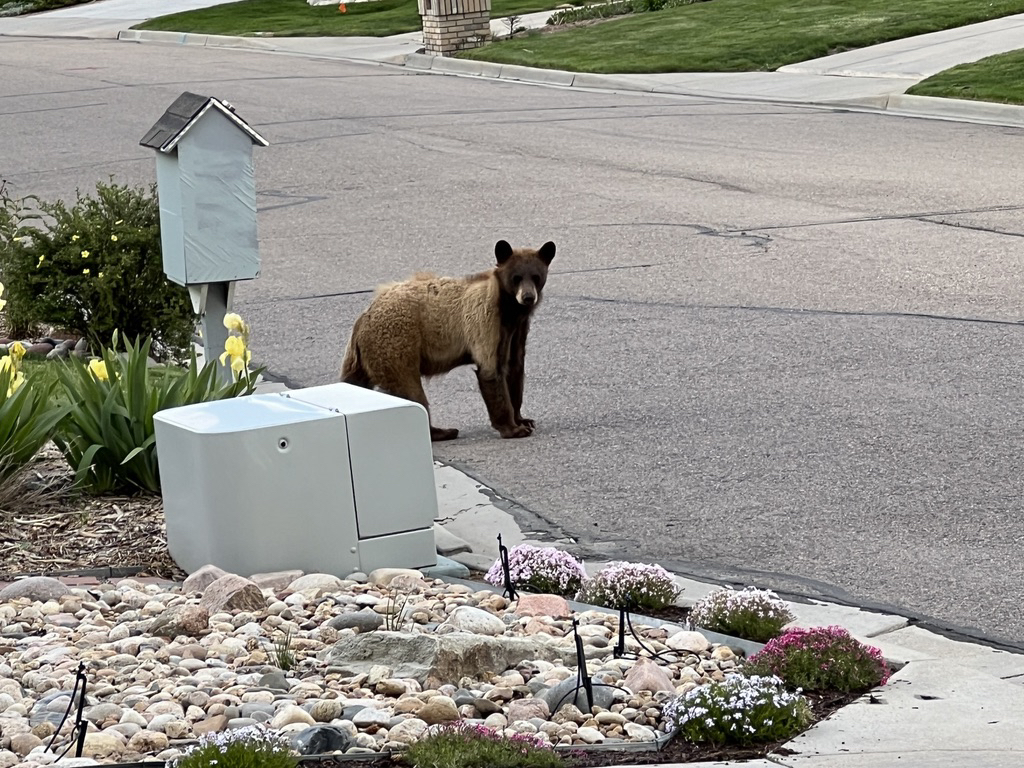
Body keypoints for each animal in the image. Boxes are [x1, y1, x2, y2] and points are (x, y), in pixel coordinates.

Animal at [342, 240, 552, 444]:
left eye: (536, 276)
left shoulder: (517, 331)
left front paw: (523, 419)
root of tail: (361, 322)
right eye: (516, 277)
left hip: (361, 359)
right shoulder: (484, 319)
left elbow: (515, 368)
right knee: (411, 389)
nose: (528, 297)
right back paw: (442, 431)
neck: (510, 311)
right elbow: (491, 370)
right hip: (396, 345)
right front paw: (514, 428)